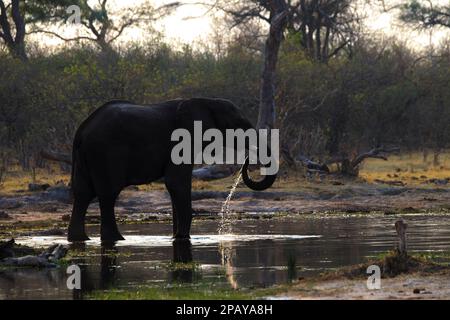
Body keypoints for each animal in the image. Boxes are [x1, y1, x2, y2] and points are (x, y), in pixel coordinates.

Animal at [68, 98, 276, 242]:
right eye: (240, 126)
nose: (248, 160)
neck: (206, 101)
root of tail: (81, 130)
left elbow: (175, 186)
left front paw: (176, 237)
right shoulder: (183, 140)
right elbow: (177, 183)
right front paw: (182, 237)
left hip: (86, 157)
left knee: (82, 193)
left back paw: (80, 239)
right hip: (106, 153)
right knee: (108, 194)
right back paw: (116, 239)